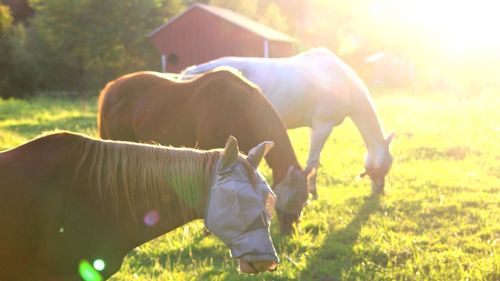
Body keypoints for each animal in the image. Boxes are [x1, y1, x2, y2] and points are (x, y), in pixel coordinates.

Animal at [183, 47, 394, 196]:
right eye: (386, 166)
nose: (380, 191)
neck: (343, 82)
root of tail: (190, 72)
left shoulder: (315, 127)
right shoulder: (323, 126)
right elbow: (313, 162)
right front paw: (312, 192)